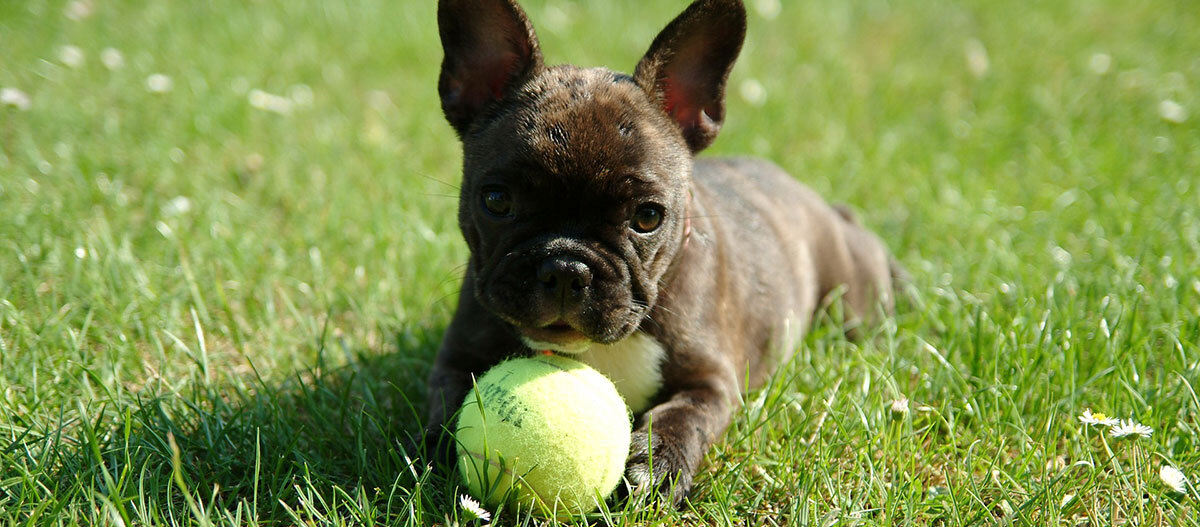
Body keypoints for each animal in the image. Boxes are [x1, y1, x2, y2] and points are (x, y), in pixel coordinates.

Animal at [424, 0, 902, 506]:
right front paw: (442, 454)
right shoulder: (455, 359)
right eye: (497, 201)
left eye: (648, 217)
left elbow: (685, 415)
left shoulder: (711, 382)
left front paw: (657, 463)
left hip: (854, 300)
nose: (567, 268)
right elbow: (449, 404)